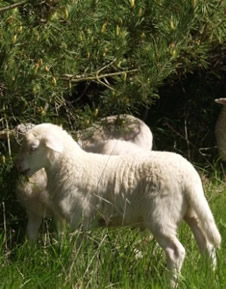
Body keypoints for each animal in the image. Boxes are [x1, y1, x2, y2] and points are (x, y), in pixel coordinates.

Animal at [15, 114, 151, 238]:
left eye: (33, 148)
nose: (18, 167)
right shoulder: (34, 212)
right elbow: (31, 234)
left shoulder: (68, 214)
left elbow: (63, 236)